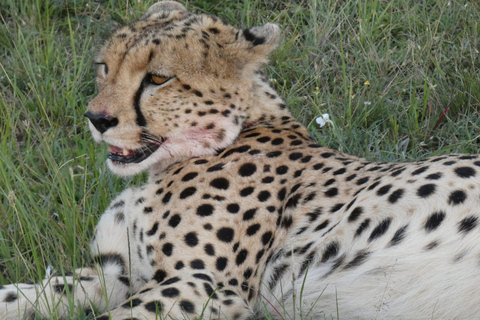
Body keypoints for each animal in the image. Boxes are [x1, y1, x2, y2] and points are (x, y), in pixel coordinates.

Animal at [2, 1, 480, 318]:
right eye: (105, 67)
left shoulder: (205, 287)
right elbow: (31, 293)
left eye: (157, 78)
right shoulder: (117, 273)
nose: (97, 118)